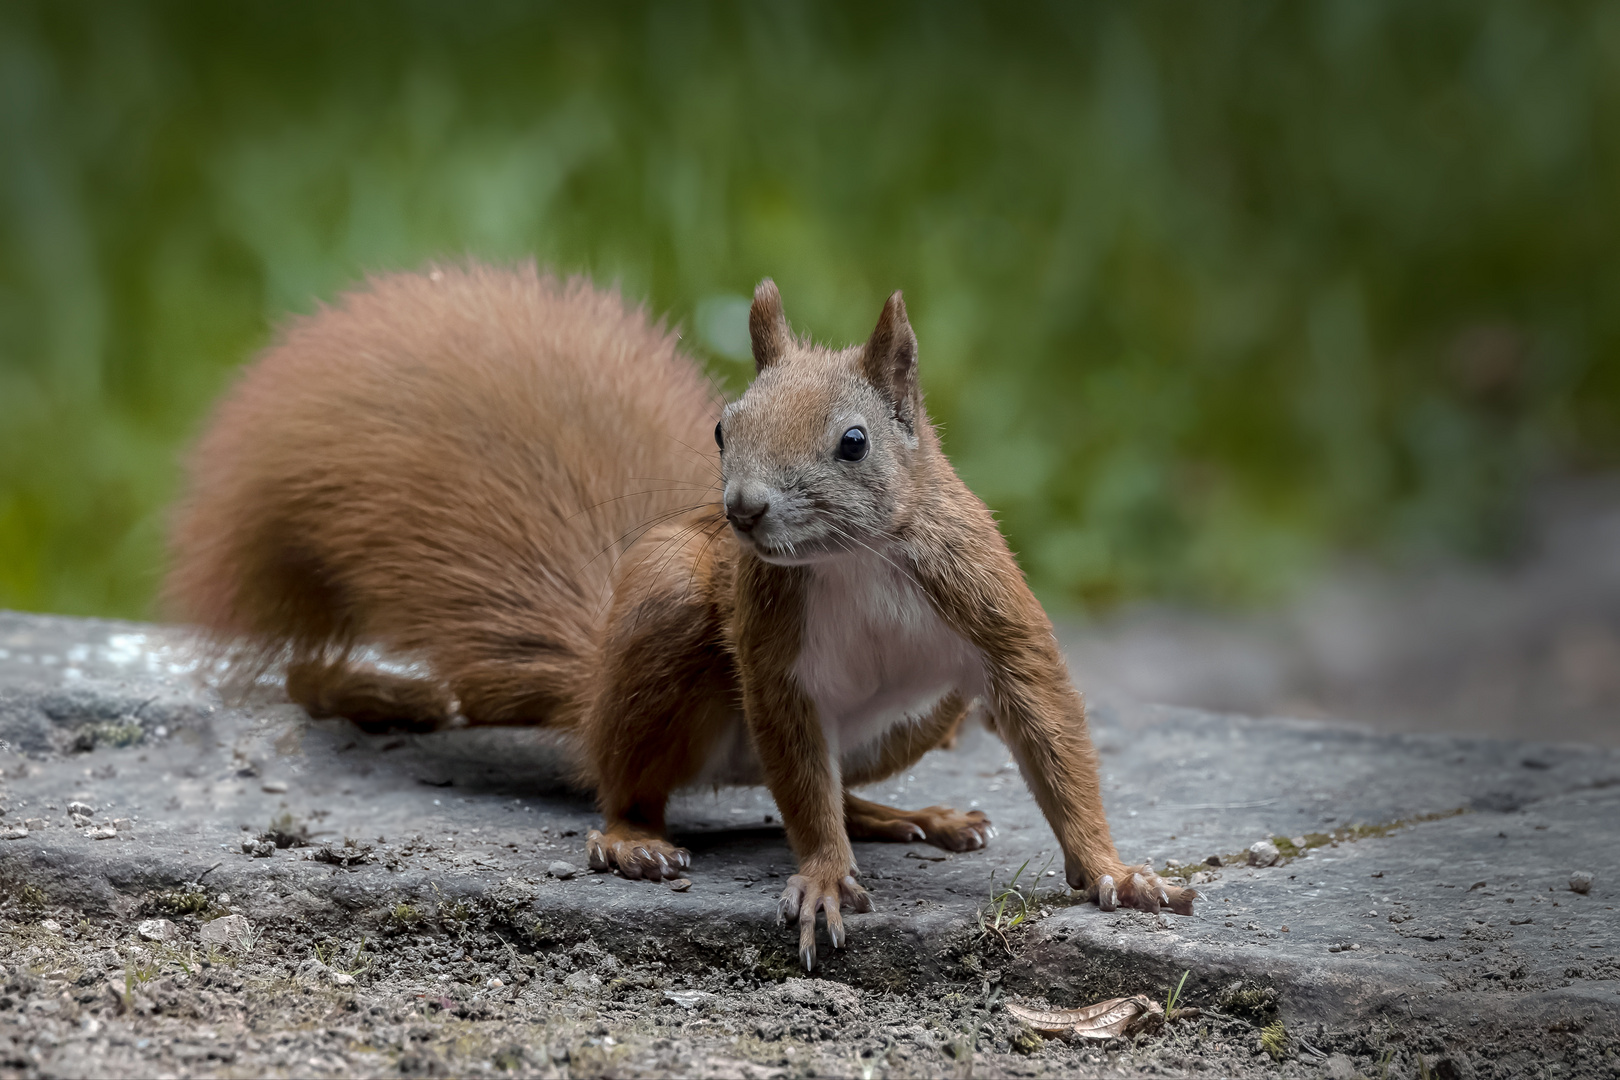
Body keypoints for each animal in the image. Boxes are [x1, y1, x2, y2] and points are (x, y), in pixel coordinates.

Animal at [170, 262, 1198, 971]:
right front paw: (822, 875)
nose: (741, 508)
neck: (851, 561)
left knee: (823, 784)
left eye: (854, 442)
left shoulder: (986, 606)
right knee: (638, 782)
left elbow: (1047, 721)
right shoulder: (775, 655)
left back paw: (907, 816)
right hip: (664, 607)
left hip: (921, 717)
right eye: (721, 427)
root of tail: (590, 697)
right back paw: (635, 839)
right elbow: (800, 775)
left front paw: (1114, 871)